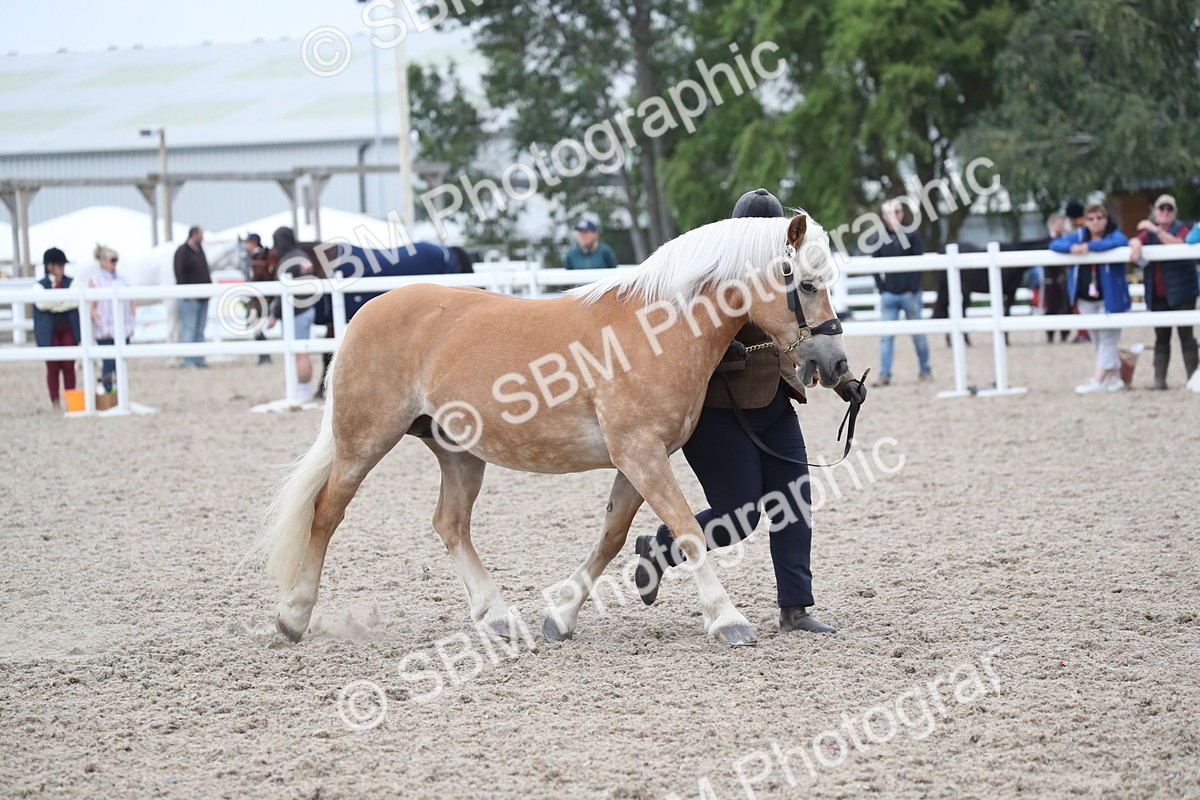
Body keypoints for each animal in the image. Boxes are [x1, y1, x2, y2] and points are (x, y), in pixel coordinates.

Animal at [249, 213, 852, 647]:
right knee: (326, 514)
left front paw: (561, 618)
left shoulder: (639, 459)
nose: (834, 365)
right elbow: (686, 529)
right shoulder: (641, 453)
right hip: (364, 441)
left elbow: (612, 538)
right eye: (806, 283)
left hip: (459, 451)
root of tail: (365, 312)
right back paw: (292, 618)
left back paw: (497, 618)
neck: (659, 328)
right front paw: (727, 620)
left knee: (450, 525)